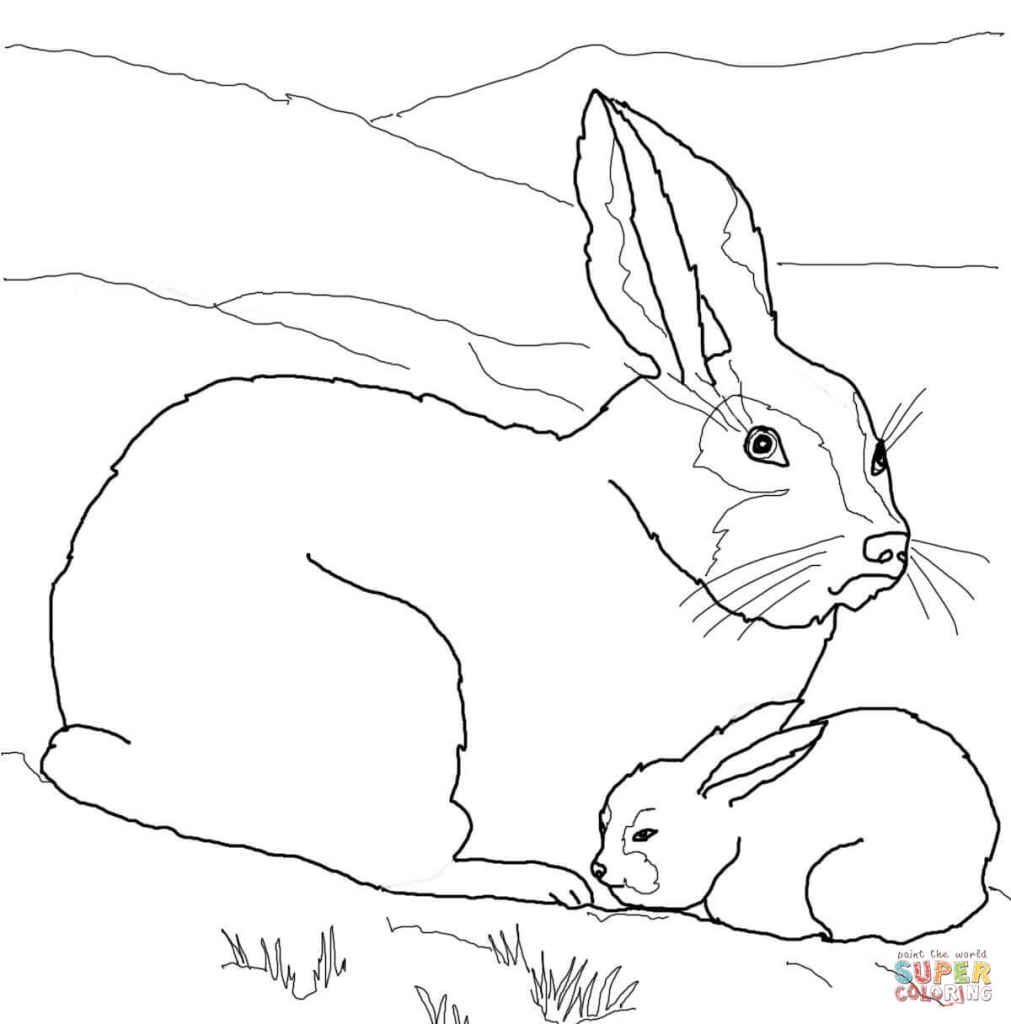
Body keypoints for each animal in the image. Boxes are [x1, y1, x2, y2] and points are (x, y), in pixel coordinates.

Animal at [42, 91, 912, 903]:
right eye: (761, 446)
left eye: (876, 453)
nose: (887, 546)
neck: (651, 527)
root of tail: (110, 740)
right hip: (397, 674)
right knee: (401, 859)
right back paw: (541, 883)